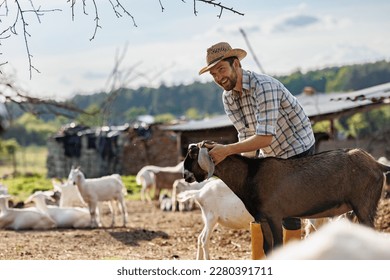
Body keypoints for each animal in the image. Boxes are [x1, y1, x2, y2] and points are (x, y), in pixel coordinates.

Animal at [184, 142, 390, 256]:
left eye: (193, 154)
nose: (186, 176)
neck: (251, 175)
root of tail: (377, 165)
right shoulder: (263, 218)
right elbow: (267, 248)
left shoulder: (275, 216)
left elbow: (277, 246)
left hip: (365, 205)